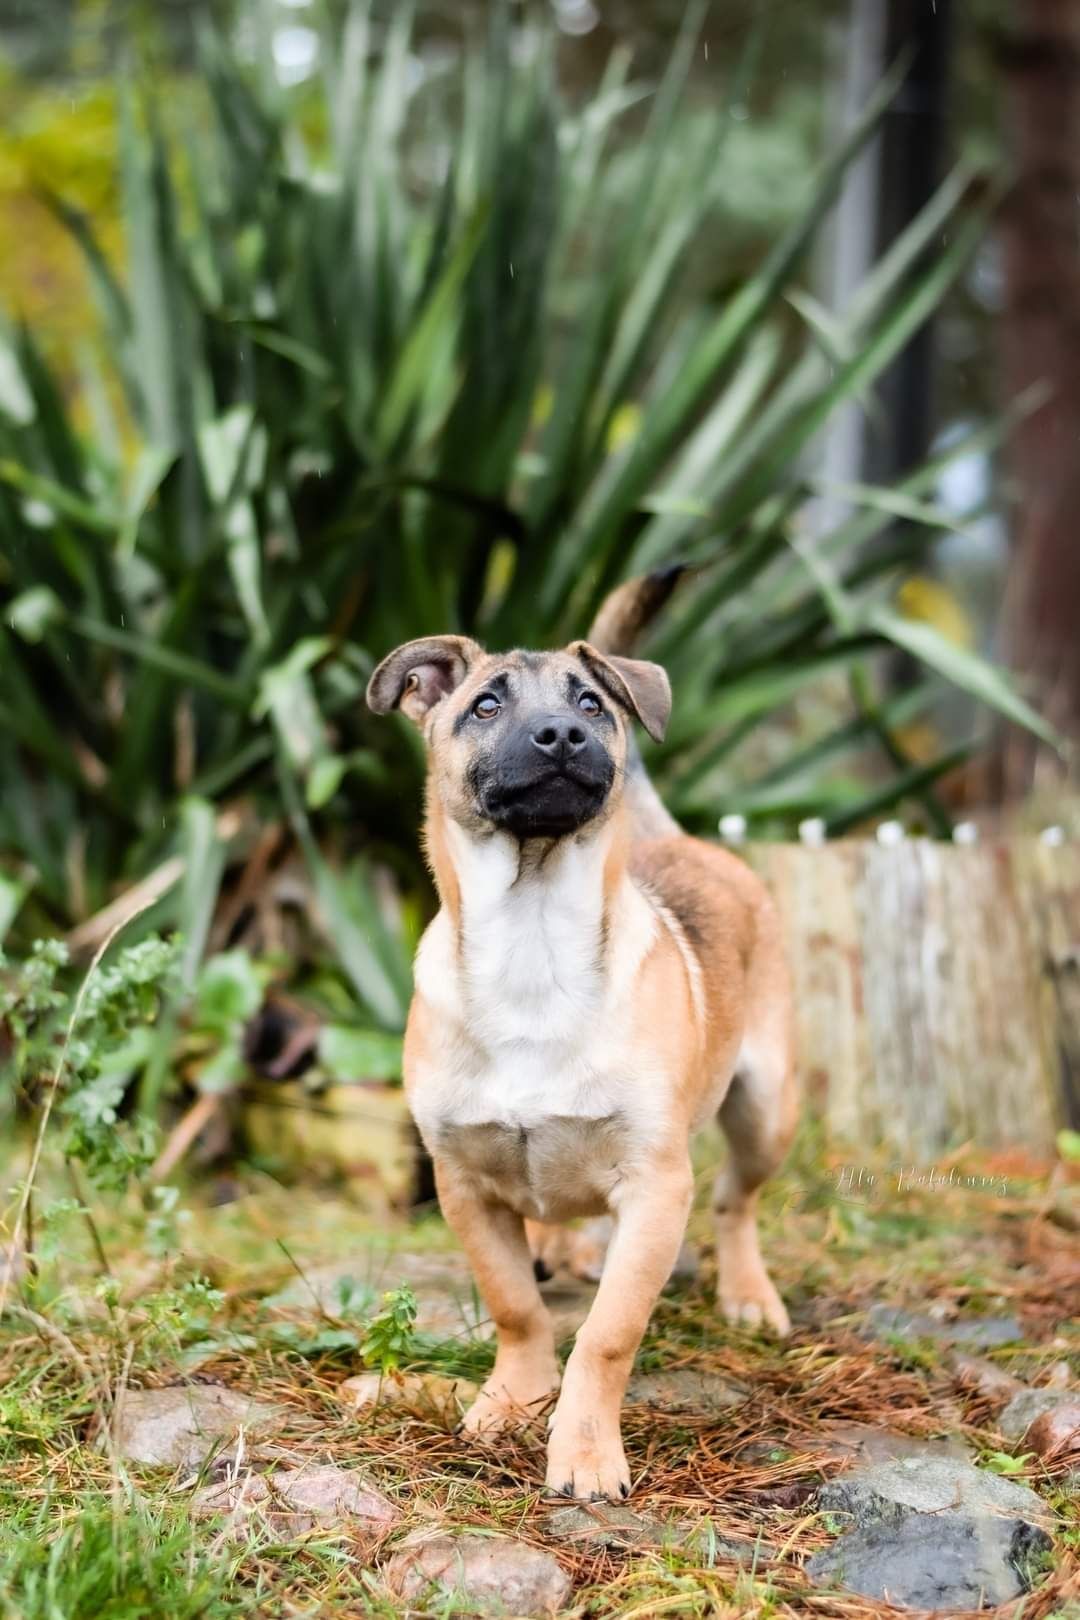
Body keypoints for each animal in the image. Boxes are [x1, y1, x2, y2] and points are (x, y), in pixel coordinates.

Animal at [367, 576, 799, 1496]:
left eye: (592, 705)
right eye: (485, 706)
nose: (562, 735)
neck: (532, 938)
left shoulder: (655, 1187)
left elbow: (605, 1336)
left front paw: (585, 1447)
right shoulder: (466, 1186)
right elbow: (516, 1309)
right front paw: (512, 1401)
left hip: (766, 1110)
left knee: (735, 1201)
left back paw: (747, 1293)